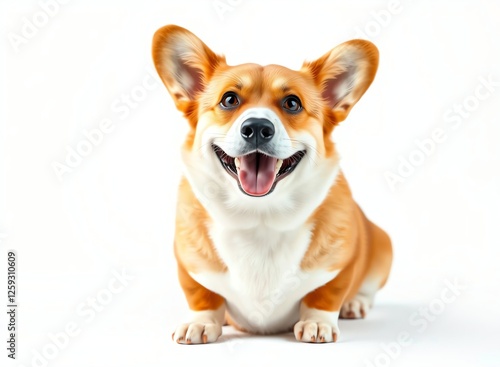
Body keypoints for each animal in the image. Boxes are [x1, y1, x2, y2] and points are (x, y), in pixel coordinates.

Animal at [150, 24, 392, 344]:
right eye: (229, 99)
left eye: (292, 103)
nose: (256, 128)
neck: (259, 216)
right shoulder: (190, 267)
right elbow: (202, 295)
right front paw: (200, 322)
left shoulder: (342, 264)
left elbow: (326, 294)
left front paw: (317, 322)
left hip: (383, 245)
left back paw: (355, 304)